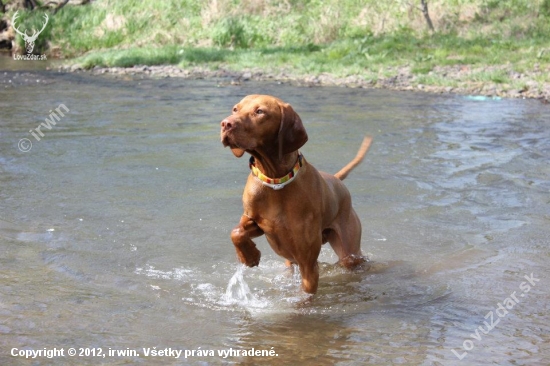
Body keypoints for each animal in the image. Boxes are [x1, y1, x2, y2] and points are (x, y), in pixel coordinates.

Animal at [222, 95, 374, 294]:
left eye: (259, 111)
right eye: (235, 109)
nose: (225, 124)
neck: (276, 182)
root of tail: (336, 178)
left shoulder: (307, 263)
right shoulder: (256, 222)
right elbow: (236, 232)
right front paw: (249, 256)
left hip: (349, 250)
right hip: (290, 260)